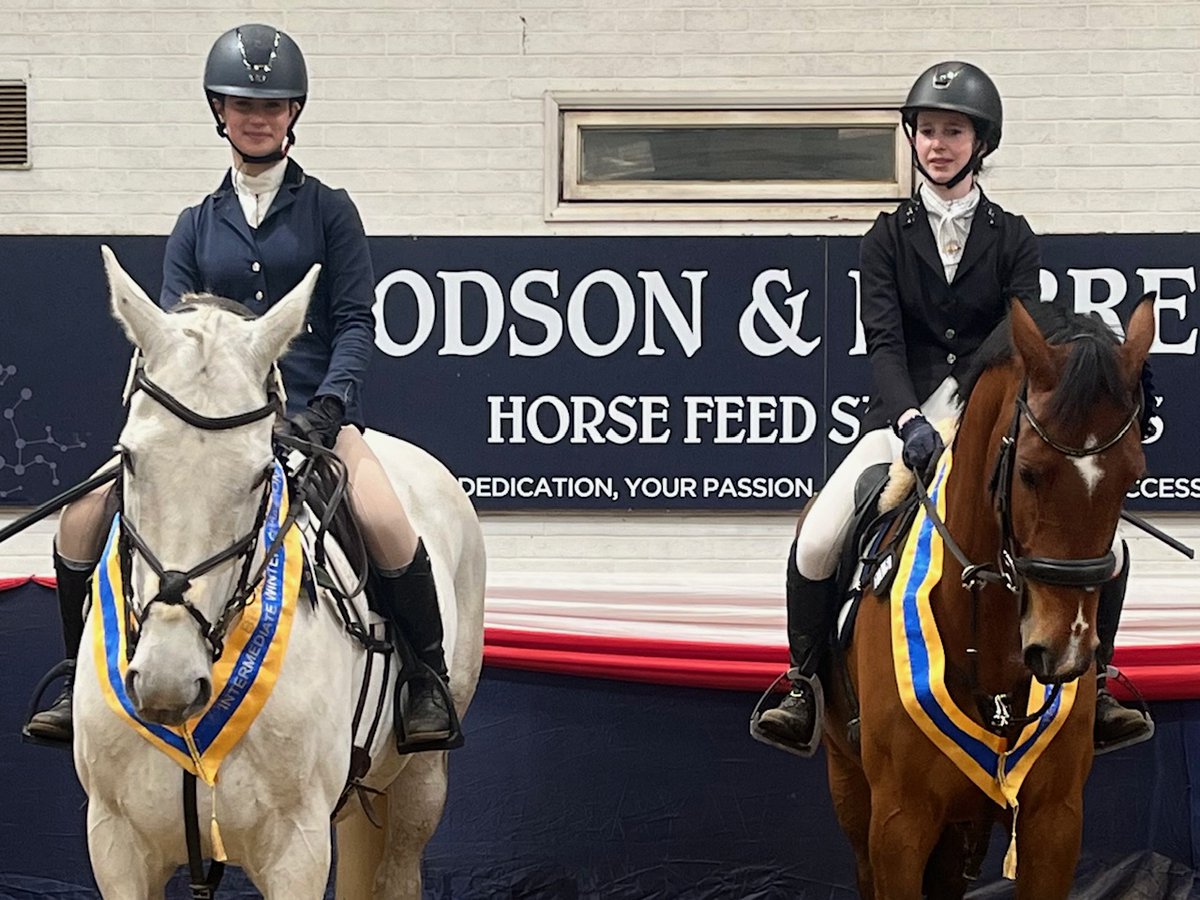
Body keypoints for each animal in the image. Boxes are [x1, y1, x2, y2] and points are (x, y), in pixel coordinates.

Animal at [69, 243, 482, 897]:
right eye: (128, 459)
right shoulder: (115, 844)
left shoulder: (297, 848)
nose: (166, 683)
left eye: (263, 472)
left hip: (421, 777)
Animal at [825, 300, 1152, 897]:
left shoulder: (1054, 822)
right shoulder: (897, 826)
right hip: (850, 787)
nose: (1064, 651)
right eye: (1028, 472)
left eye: (1131, 477)